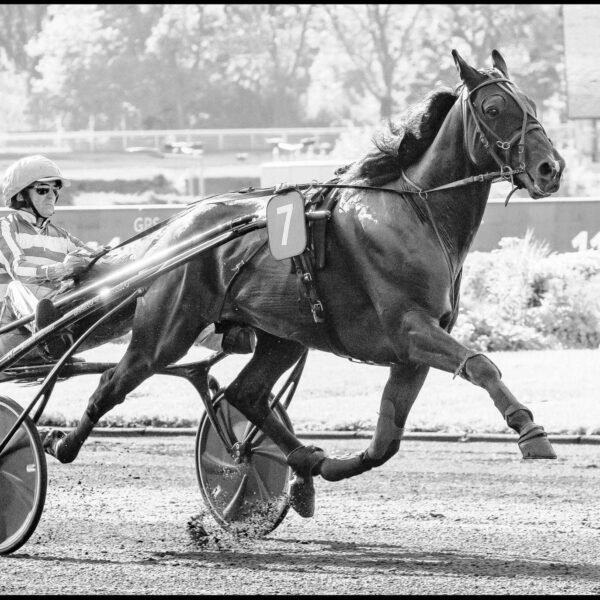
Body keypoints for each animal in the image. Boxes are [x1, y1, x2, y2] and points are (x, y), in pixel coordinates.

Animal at [44, 50, 564, 520]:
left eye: (532, 102)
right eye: (494, 108)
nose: (551, 168)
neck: (414, 213)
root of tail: (177, 228)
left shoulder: (413, 350)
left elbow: (386, 441)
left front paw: (322, 469)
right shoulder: (409, 328)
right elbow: (481, 365)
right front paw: (530, 431)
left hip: (283, 336)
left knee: (244, 394)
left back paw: (301, 462)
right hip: (168, 328)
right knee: (113, 382)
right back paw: (60, 443)